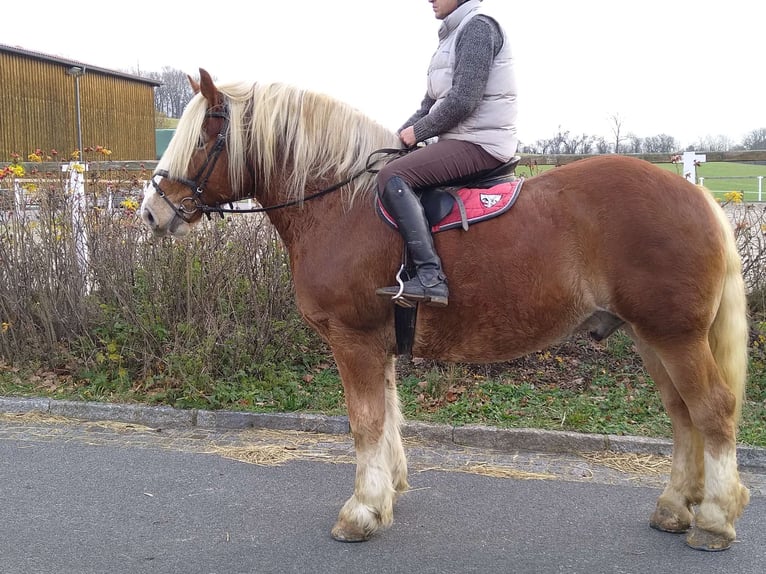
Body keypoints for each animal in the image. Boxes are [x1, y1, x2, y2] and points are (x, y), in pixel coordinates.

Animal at [141, 68, 752, 552]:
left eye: (206, 136)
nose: (152, 211)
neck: (341, 202)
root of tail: (699, 198)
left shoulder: (353, 338)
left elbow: (365, 422)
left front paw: (362, 511)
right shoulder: (377, 342)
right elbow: (387, 416)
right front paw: (387, 493)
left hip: (675, 336)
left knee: (713, 411)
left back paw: (714, 521)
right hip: (652, 338)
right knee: (682, 415)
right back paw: (674, 507)